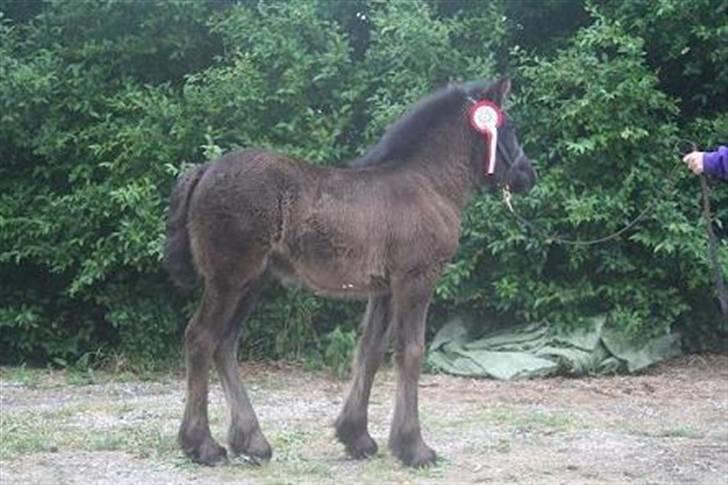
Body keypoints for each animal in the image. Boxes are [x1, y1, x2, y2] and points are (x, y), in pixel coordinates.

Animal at [164, 77, 536, 468]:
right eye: (510, 127)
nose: (528, 175)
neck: (427, 182)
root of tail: (205, 170)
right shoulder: (416, 280)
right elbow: (411, 351)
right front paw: (414, 447)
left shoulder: (384, 289)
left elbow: (370, 350)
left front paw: (356, 437)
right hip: (228, 279)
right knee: (201, 338)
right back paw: (202, 444)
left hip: (251, 282)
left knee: (225, 344)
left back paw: (251, 441)